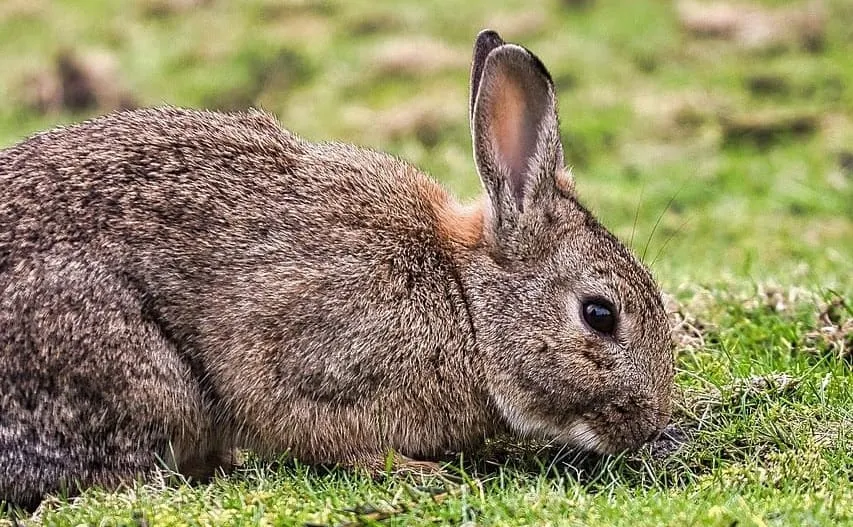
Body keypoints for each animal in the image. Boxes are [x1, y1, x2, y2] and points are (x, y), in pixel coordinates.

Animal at [0, 29, 673, 510]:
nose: (653, 426)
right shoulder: (315, 362)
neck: (467, 302)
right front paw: (419, 471)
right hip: (133, 374)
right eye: (599, 314)